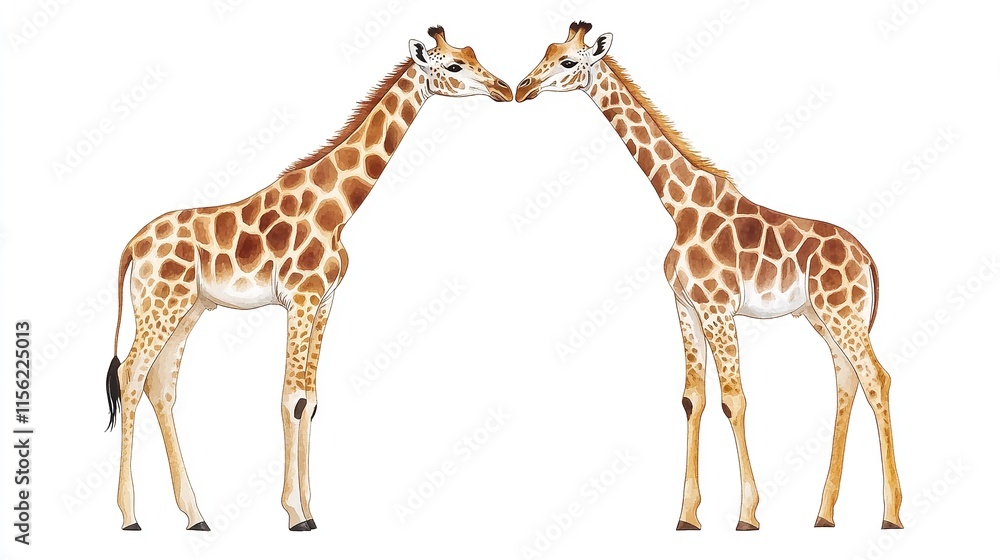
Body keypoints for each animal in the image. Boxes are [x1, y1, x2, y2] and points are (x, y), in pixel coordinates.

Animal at [102, 26, 512, 532]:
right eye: (454, 65)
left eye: (473, 55)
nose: (504, 89)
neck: (338, 209)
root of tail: (131, 246)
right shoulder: (300, 298)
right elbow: (291, 398)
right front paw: (295, 514)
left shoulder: (325, 301)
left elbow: (311, 401)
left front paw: (310, 510)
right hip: (160, 304)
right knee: (130, 376)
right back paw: (129, 516)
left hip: (189, 307)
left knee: (160, 385)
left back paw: (195, 515)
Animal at [515, 22, 902, 531]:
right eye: (546, 51)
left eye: (567, 61)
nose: (522, 88)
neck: (680, 205)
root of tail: (868, 258)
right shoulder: (685, 306)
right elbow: (692, 399)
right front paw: (687, 515)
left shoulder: (718, 309)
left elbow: (733, 400)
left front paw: (747, 515)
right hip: (822, 316)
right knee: (847, 380)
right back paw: (823, 514)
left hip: (843, 312)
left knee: (877, 378)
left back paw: (891, 514)